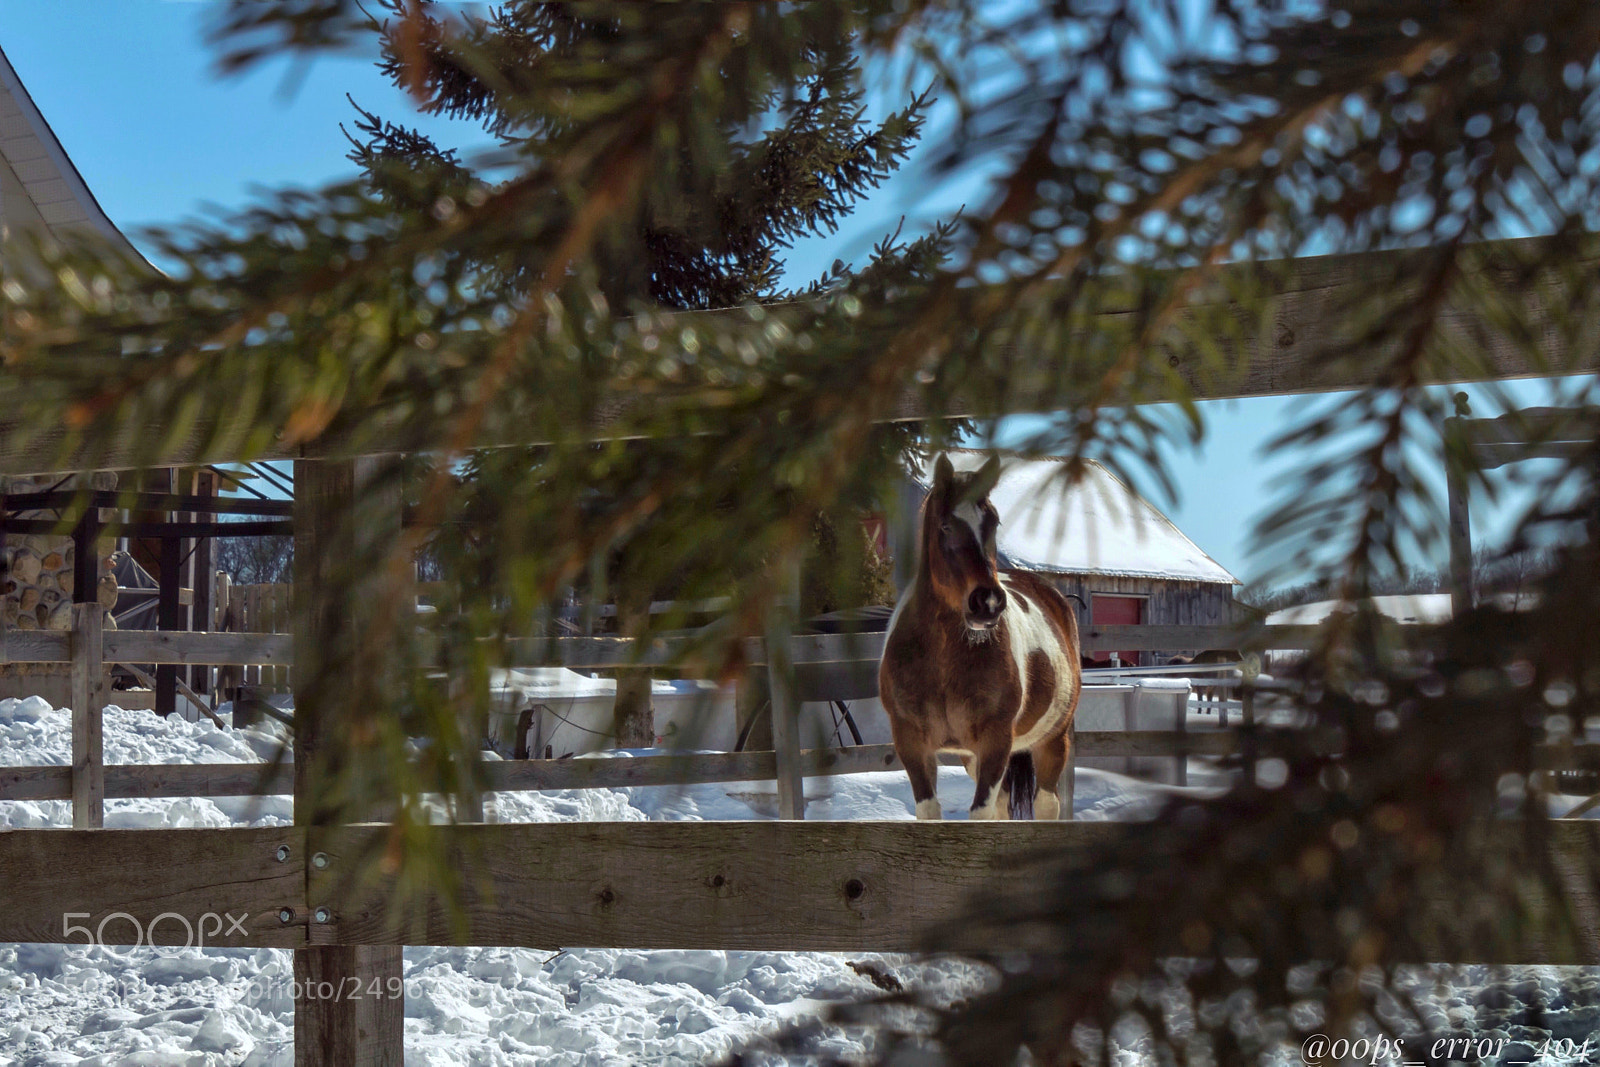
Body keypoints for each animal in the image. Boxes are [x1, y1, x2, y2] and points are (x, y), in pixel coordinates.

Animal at [879, 453, 1083, 820]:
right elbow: (930, 811)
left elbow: (981, 813)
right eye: (945, 525)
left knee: (1047, 804)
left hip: (1053, 740)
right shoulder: (911, 742)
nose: (986, 602)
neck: (942, 657)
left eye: (994, 523)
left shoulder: (995, 741)